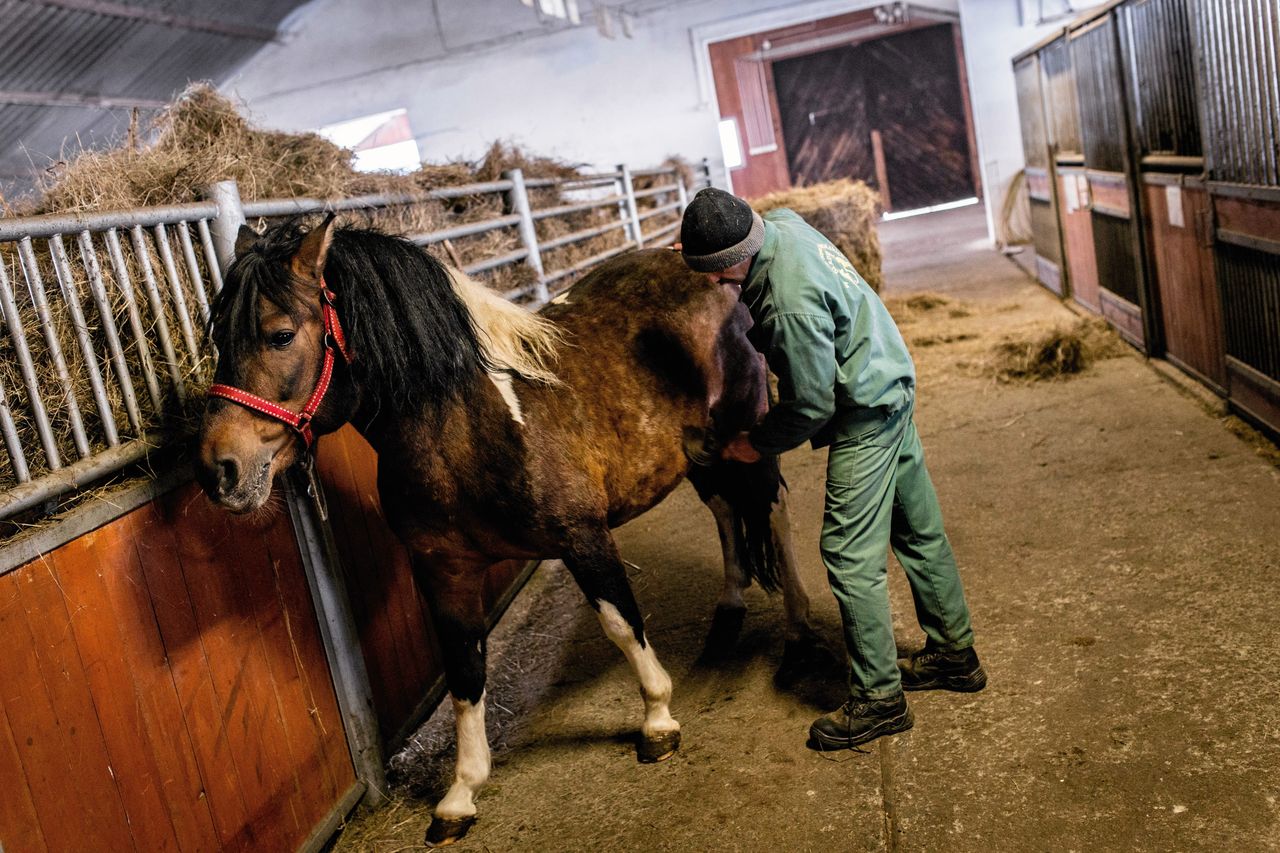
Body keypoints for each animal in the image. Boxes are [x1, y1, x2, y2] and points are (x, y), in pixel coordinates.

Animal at [194, 217, 814, 845]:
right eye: (219, 341)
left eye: (279, 335)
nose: (219, 470)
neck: (465, 425)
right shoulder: (445, 574)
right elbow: (465, 672)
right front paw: (461, 794)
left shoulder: (583, 538)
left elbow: (622, 622)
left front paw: (658, 720)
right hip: (699, 456)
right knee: (726, 514)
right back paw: (729, 610)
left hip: (748, 437)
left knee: (774, 511)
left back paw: (798, 627)